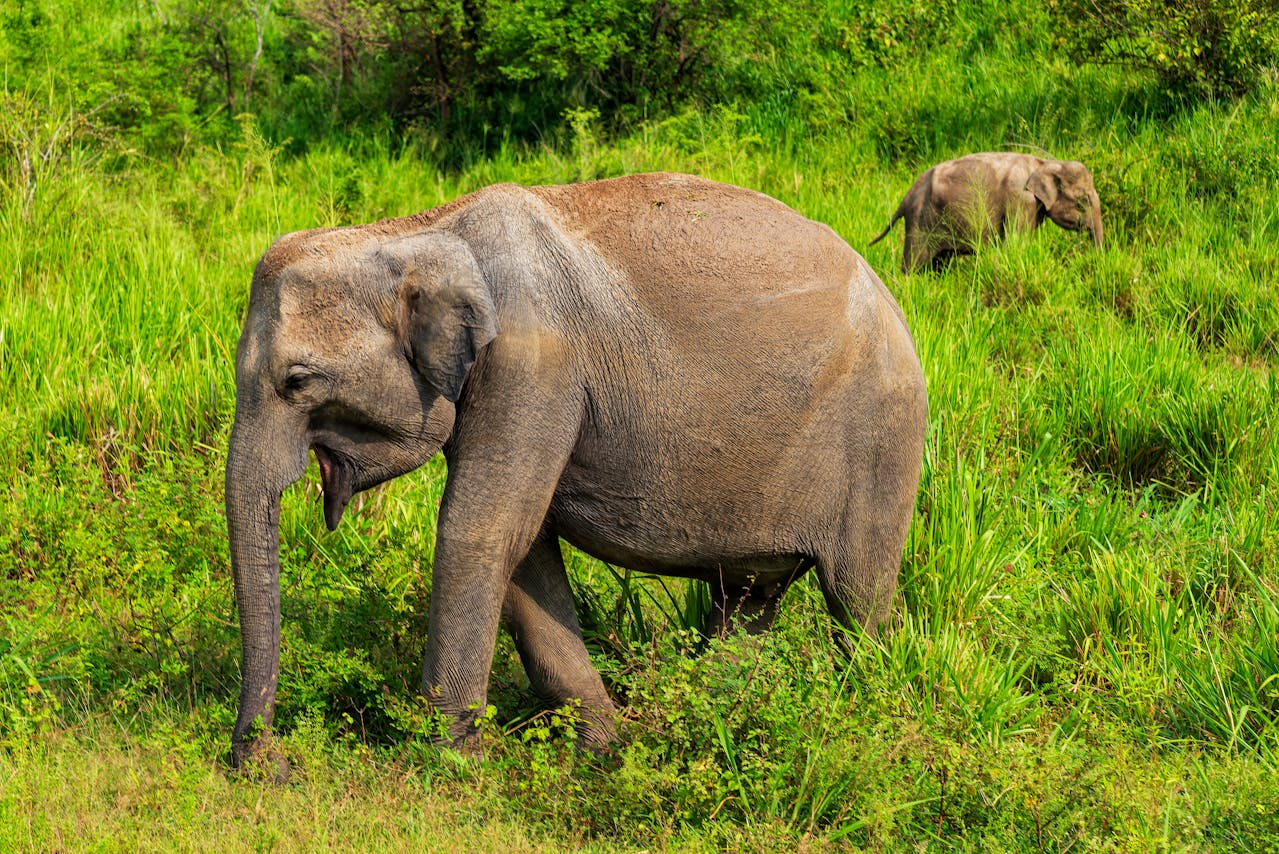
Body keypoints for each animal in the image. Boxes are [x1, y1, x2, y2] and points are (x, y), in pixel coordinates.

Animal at [226, 171, 928, 770]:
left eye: (297, 381)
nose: (268, 766)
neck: (419, 229)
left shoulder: (534, 366)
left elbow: (479, 532)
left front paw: (447, 766)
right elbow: (523, 551)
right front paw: (604, 755)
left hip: (884, 441)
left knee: (858, 600)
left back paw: (865, 719)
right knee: (749, 602)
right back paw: (720, 720)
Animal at [869, 152, 1104, 272]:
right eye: (1083, 201)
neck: (1044, 163)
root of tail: (907, 195)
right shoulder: (1020, 201)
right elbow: (1015, 243)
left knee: (939, 262)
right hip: (920, 222)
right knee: (914, 263)